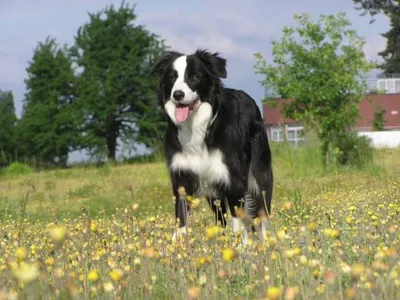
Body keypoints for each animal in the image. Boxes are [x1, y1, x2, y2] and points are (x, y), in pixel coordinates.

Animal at [149, 48, 272, 243]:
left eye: (195, 77)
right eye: (171, 77)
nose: (177, 95)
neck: (197, 127)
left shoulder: (232, 178)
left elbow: (239, 219)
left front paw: (243, 245)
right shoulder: (183, 175)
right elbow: (181, 216)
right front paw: (178, 245)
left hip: (260, 172)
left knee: (262, 210)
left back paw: (267, 240)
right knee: (220, 217)